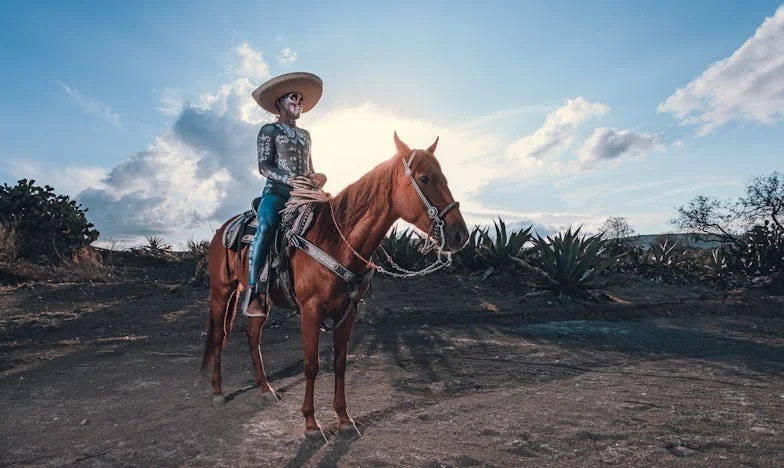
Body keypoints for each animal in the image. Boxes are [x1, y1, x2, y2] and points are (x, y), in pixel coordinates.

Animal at [202, 132, 468, 438]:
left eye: (444, 177)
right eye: (424, 178)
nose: (460, 234)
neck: (336, 240)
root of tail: (224, 229)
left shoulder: (348, 312)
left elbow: (340, 363)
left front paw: (343, 418)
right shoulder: (311, 311)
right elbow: (311, 364)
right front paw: (310, 422)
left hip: (260, 300)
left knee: (253, 335)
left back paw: (265, 388)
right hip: (221, 292)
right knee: (219, 336)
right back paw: (218, 392)